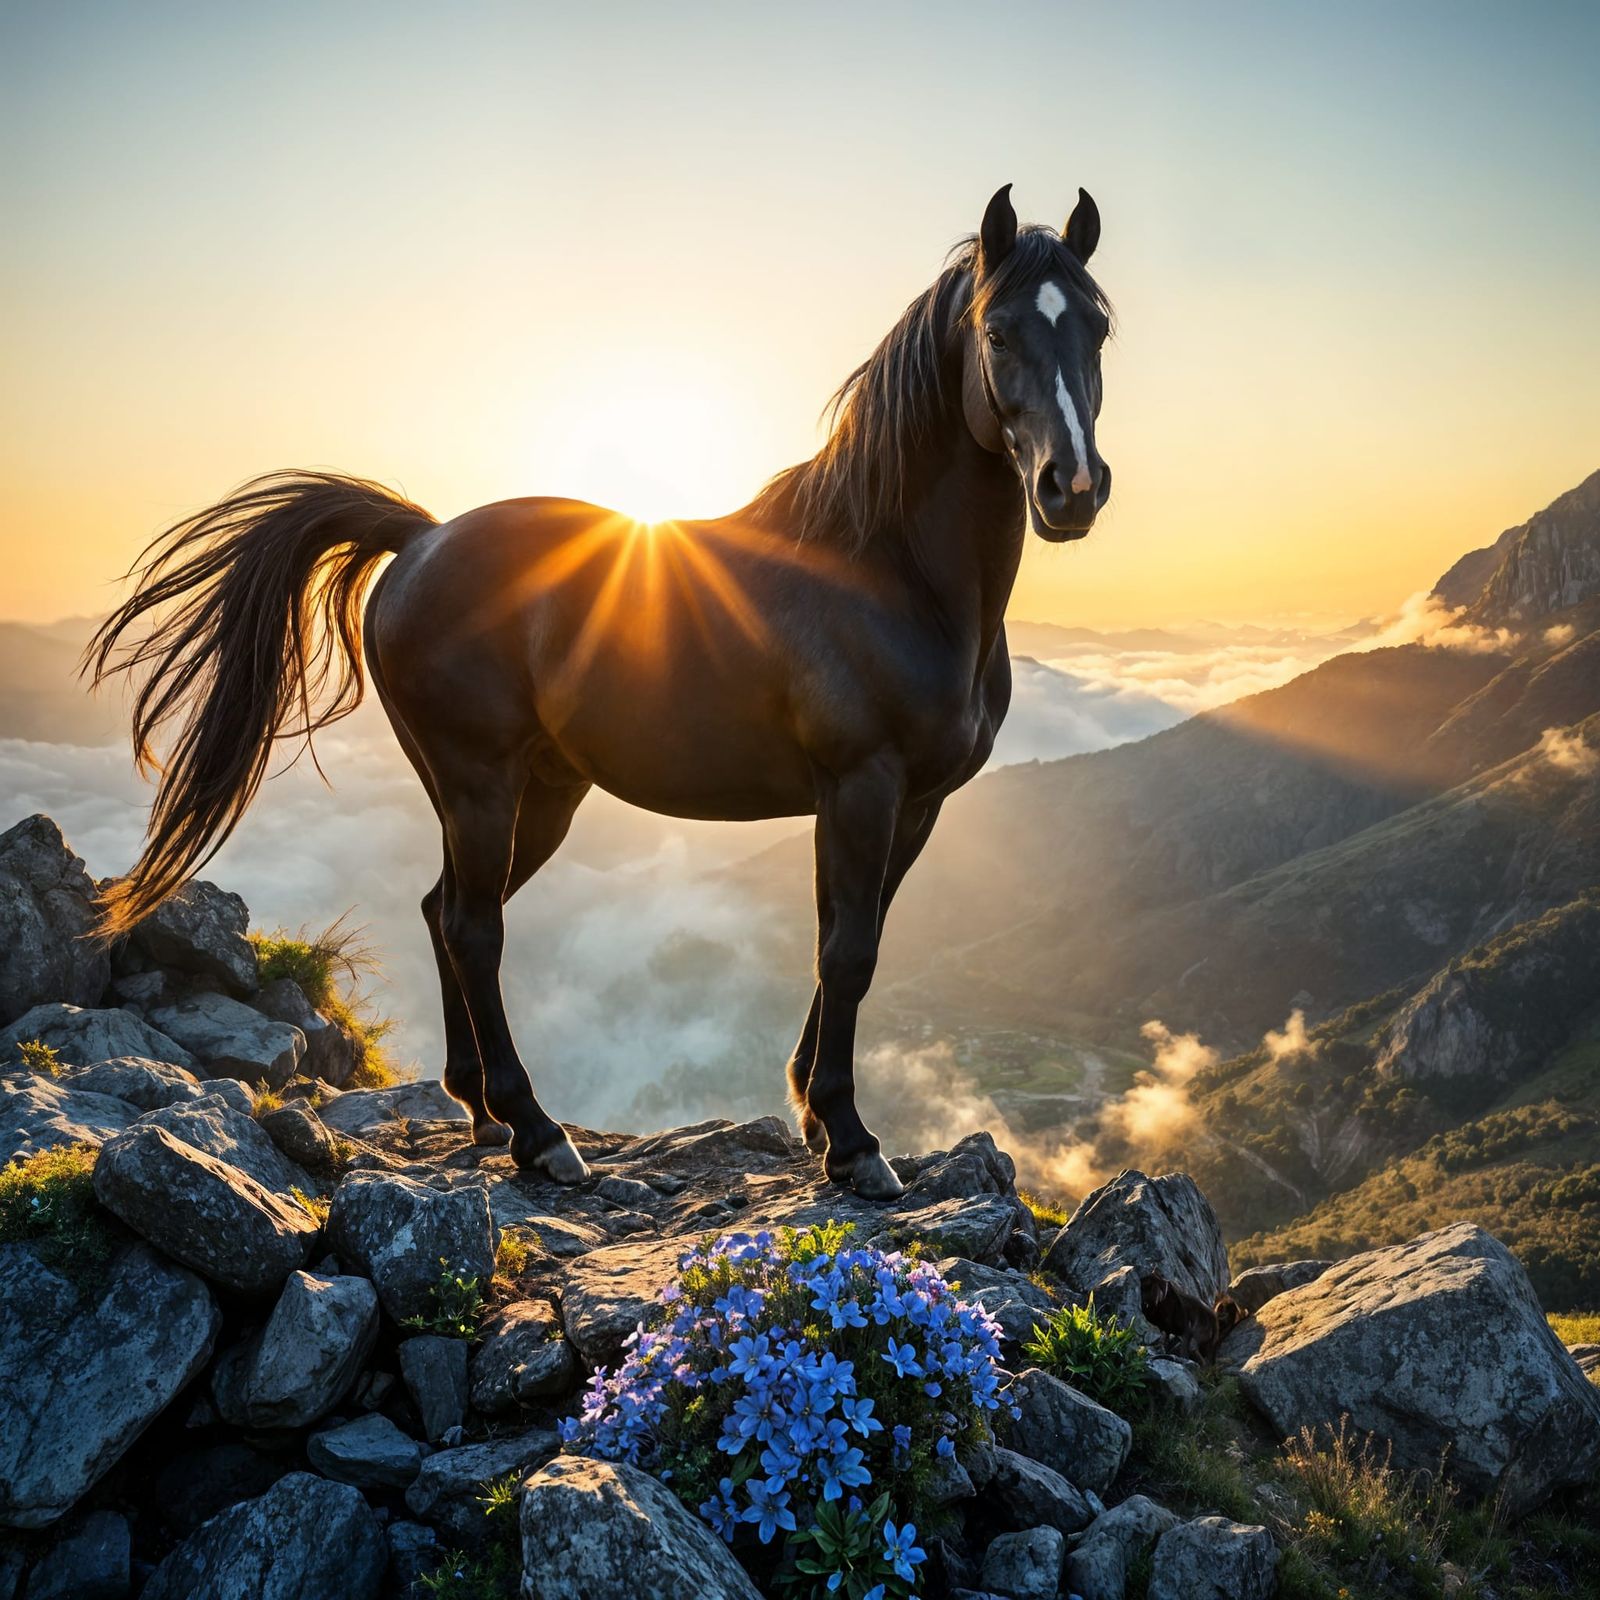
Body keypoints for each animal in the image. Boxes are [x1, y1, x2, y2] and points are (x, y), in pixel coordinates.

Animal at [85, 183, 1115, 1200]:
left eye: (1098, 329)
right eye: (997, 333)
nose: (1071, 488)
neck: (890, 574)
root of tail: (421, 540)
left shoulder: (917, 805)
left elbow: (852, 946)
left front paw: (818, 1116)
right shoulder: (861, 787)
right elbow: (847, 951)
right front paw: (853, 1141)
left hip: (537, 792)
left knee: (442, 909)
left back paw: (480, 1108)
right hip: (481, 782)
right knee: (472, 925)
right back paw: (537, 1132)